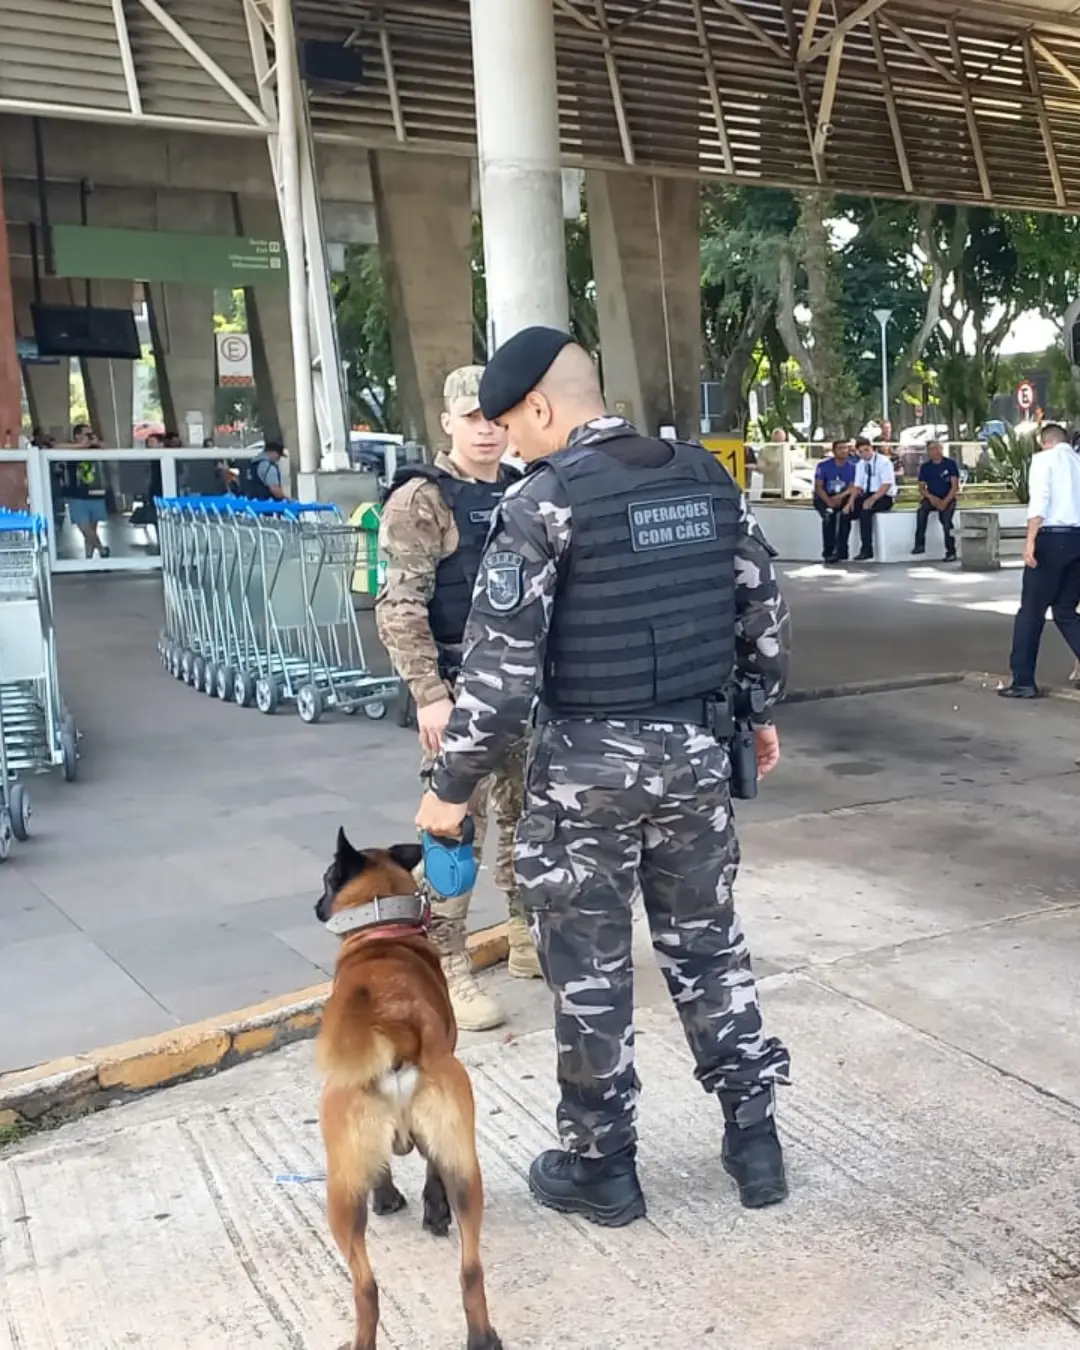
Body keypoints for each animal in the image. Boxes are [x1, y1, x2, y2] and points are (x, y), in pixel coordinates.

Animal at [314, 826, 504, 1350]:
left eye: (326, 876)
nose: (316, 905)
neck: (381, 934)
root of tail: (396, 1032)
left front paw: (388, 1197)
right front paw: (431, 1210)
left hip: (340, 1190)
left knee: (365, 1286)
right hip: (463, 1166)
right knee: (470, 1268)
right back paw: (482, 1335)